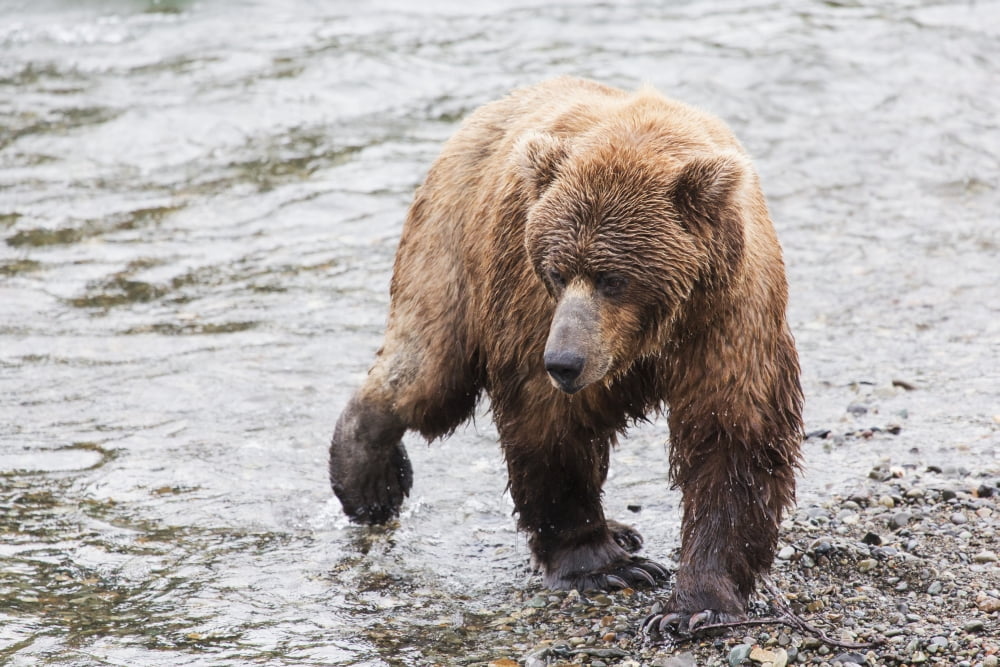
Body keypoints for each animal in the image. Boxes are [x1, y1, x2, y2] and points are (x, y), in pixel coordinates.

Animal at [328, 76, 803, 633]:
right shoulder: (531, 303)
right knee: (428, 372)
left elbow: (733, 434)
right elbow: (550, 426)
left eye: (614, 278)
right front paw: (605, 567)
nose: (564, 362)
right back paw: (368, 482)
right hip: (452, 249)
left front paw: (696, 603)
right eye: (556, 271)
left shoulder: (728, 314)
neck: (648, 339)